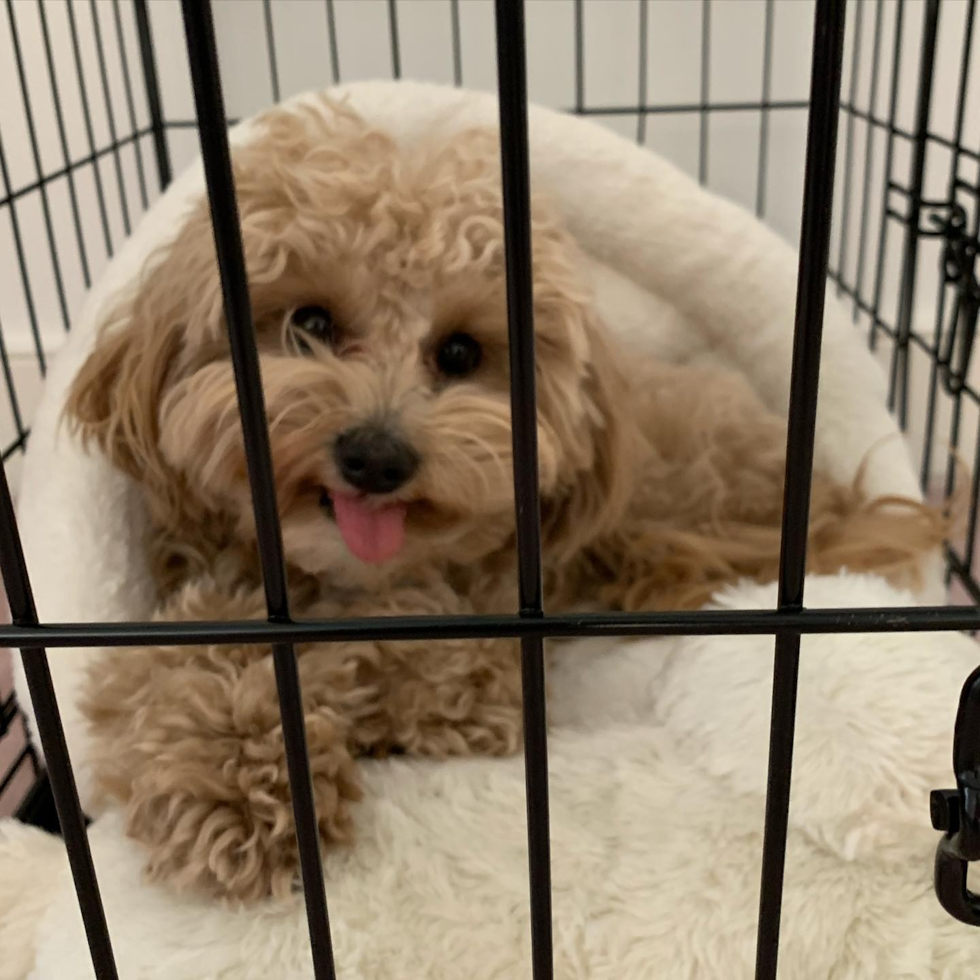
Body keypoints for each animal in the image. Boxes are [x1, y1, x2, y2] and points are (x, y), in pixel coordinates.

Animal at [65, 99, 944, 904]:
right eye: (308, 321)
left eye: (460, 353)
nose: (376, 456)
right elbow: (168, 666)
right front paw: (228, 783)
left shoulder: (479, 663)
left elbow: (378, 659)